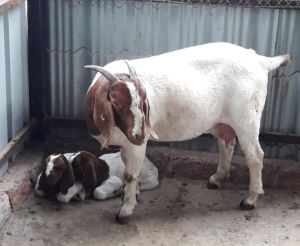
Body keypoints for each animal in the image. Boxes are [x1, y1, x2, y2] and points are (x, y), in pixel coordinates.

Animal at [84, 41, 290, 223]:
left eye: (143, 102)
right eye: (116, 103)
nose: (140, 135)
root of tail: (260, 60)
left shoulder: (134, 144)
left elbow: (129, 174)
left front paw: (126, 210)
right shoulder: (126, 143)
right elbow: (129, 167)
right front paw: (133, 193)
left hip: (247, 117)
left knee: (255, 155)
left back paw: (251, 199)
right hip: (226, 121)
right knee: (227, 143)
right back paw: (218, 179)